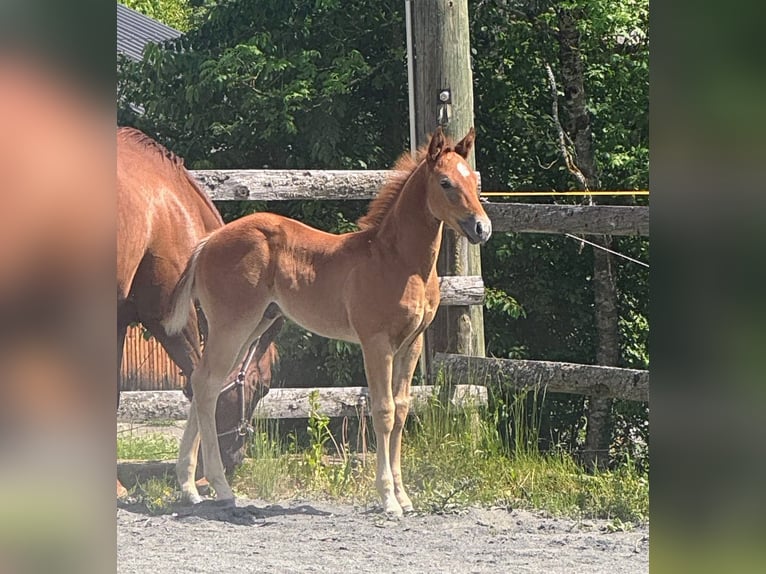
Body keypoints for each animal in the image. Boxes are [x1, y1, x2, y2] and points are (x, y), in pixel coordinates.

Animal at [164, 127, 492, 515]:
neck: (398, 261)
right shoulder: (376, 342)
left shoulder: (411, 344)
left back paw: (190, 487)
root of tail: (209, 240)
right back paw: (221, 488)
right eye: (445, 183)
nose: (482, 228)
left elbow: (401, 410)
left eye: (474, 180)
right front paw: (387, 498)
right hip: (233, 325)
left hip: (253, 325)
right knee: (207, 384)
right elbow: (383, 411)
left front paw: (404, 496)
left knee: (205, 382)